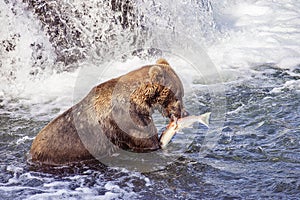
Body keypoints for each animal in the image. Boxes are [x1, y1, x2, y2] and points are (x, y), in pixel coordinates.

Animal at [29, 58, 185, 165]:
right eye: (179, 95)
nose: (184, 113)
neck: (138, 100)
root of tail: (31, 153)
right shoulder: (126, 120)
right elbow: (147, 142)